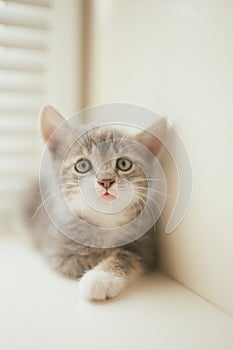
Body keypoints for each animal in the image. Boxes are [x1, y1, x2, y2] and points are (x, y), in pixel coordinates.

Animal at [23, 104, 166, 300]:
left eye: (124, 164)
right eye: (83, 165)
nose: (105, 181)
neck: (105, 221)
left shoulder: (147, 245)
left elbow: (127, 254)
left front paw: (101, 278)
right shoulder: (58, 250)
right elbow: (84, 257)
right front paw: (100, 275)